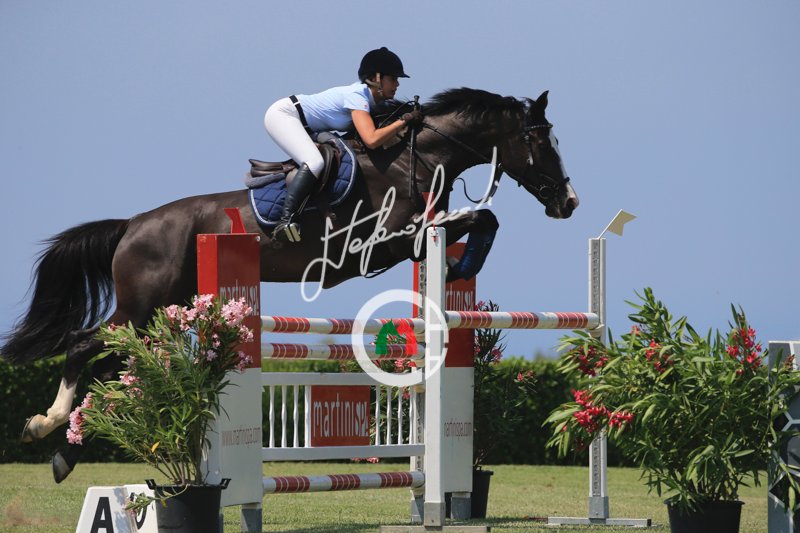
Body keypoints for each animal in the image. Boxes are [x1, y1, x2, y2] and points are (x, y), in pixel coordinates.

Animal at [1, 87, 578, 482]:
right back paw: (43, 426)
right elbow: (482, 218)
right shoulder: (393, 241)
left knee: (110, 369)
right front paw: (460, 266)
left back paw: (64, 454)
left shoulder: (415, 238)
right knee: (84, 349)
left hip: (160, 311)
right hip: (142, 307)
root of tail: (133, 225)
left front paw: (459, 267)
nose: (568, 202)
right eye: (538, 140)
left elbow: (484, 220)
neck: (417, 157)